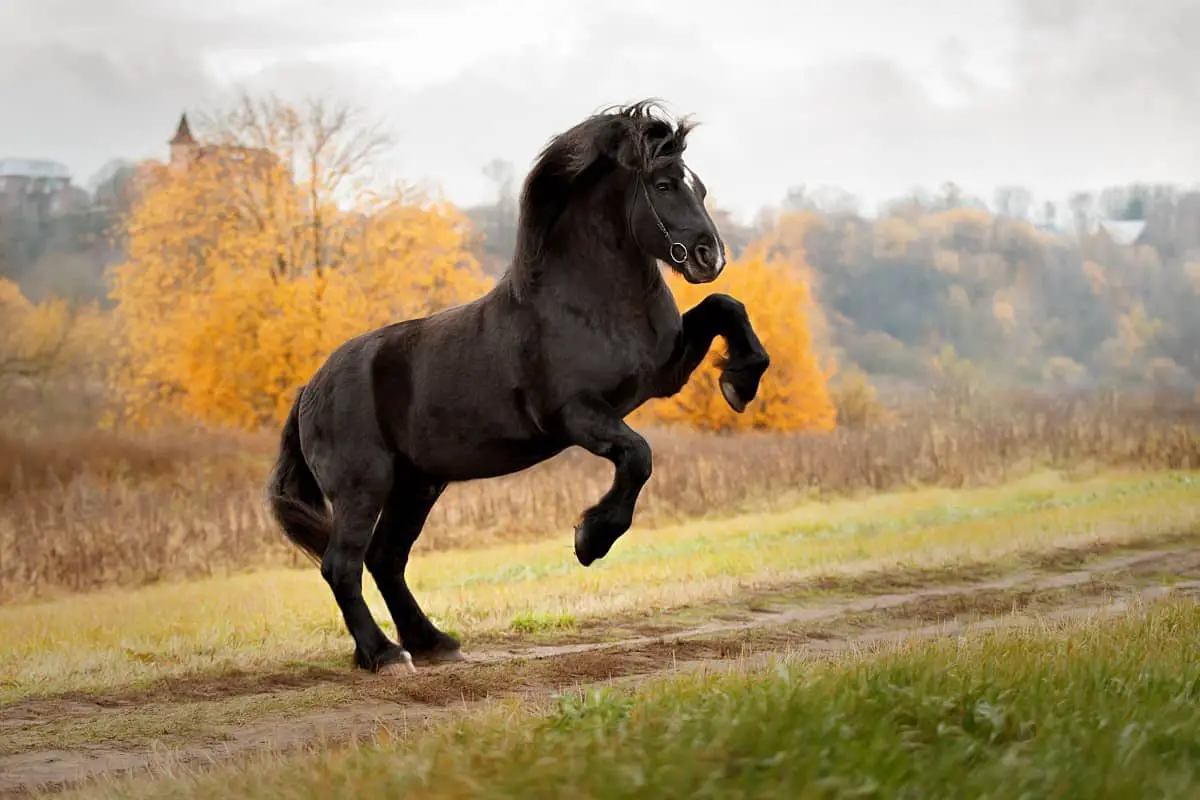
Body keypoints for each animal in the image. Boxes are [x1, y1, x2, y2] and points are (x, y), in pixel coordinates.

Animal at [266, 99, 771, 675]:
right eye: (664, 184)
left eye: (700, 188)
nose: (711, 257)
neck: (590, 302)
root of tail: (309, 391)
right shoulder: (577, 415)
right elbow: (639, 456)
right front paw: (590, 539)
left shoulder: (664, 374)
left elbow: (725, 307)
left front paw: (739, 383)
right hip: (363, 485)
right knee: (342, 565)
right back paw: (386, 654)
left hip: (418, 484)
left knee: (385, 558)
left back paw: (432, 642)